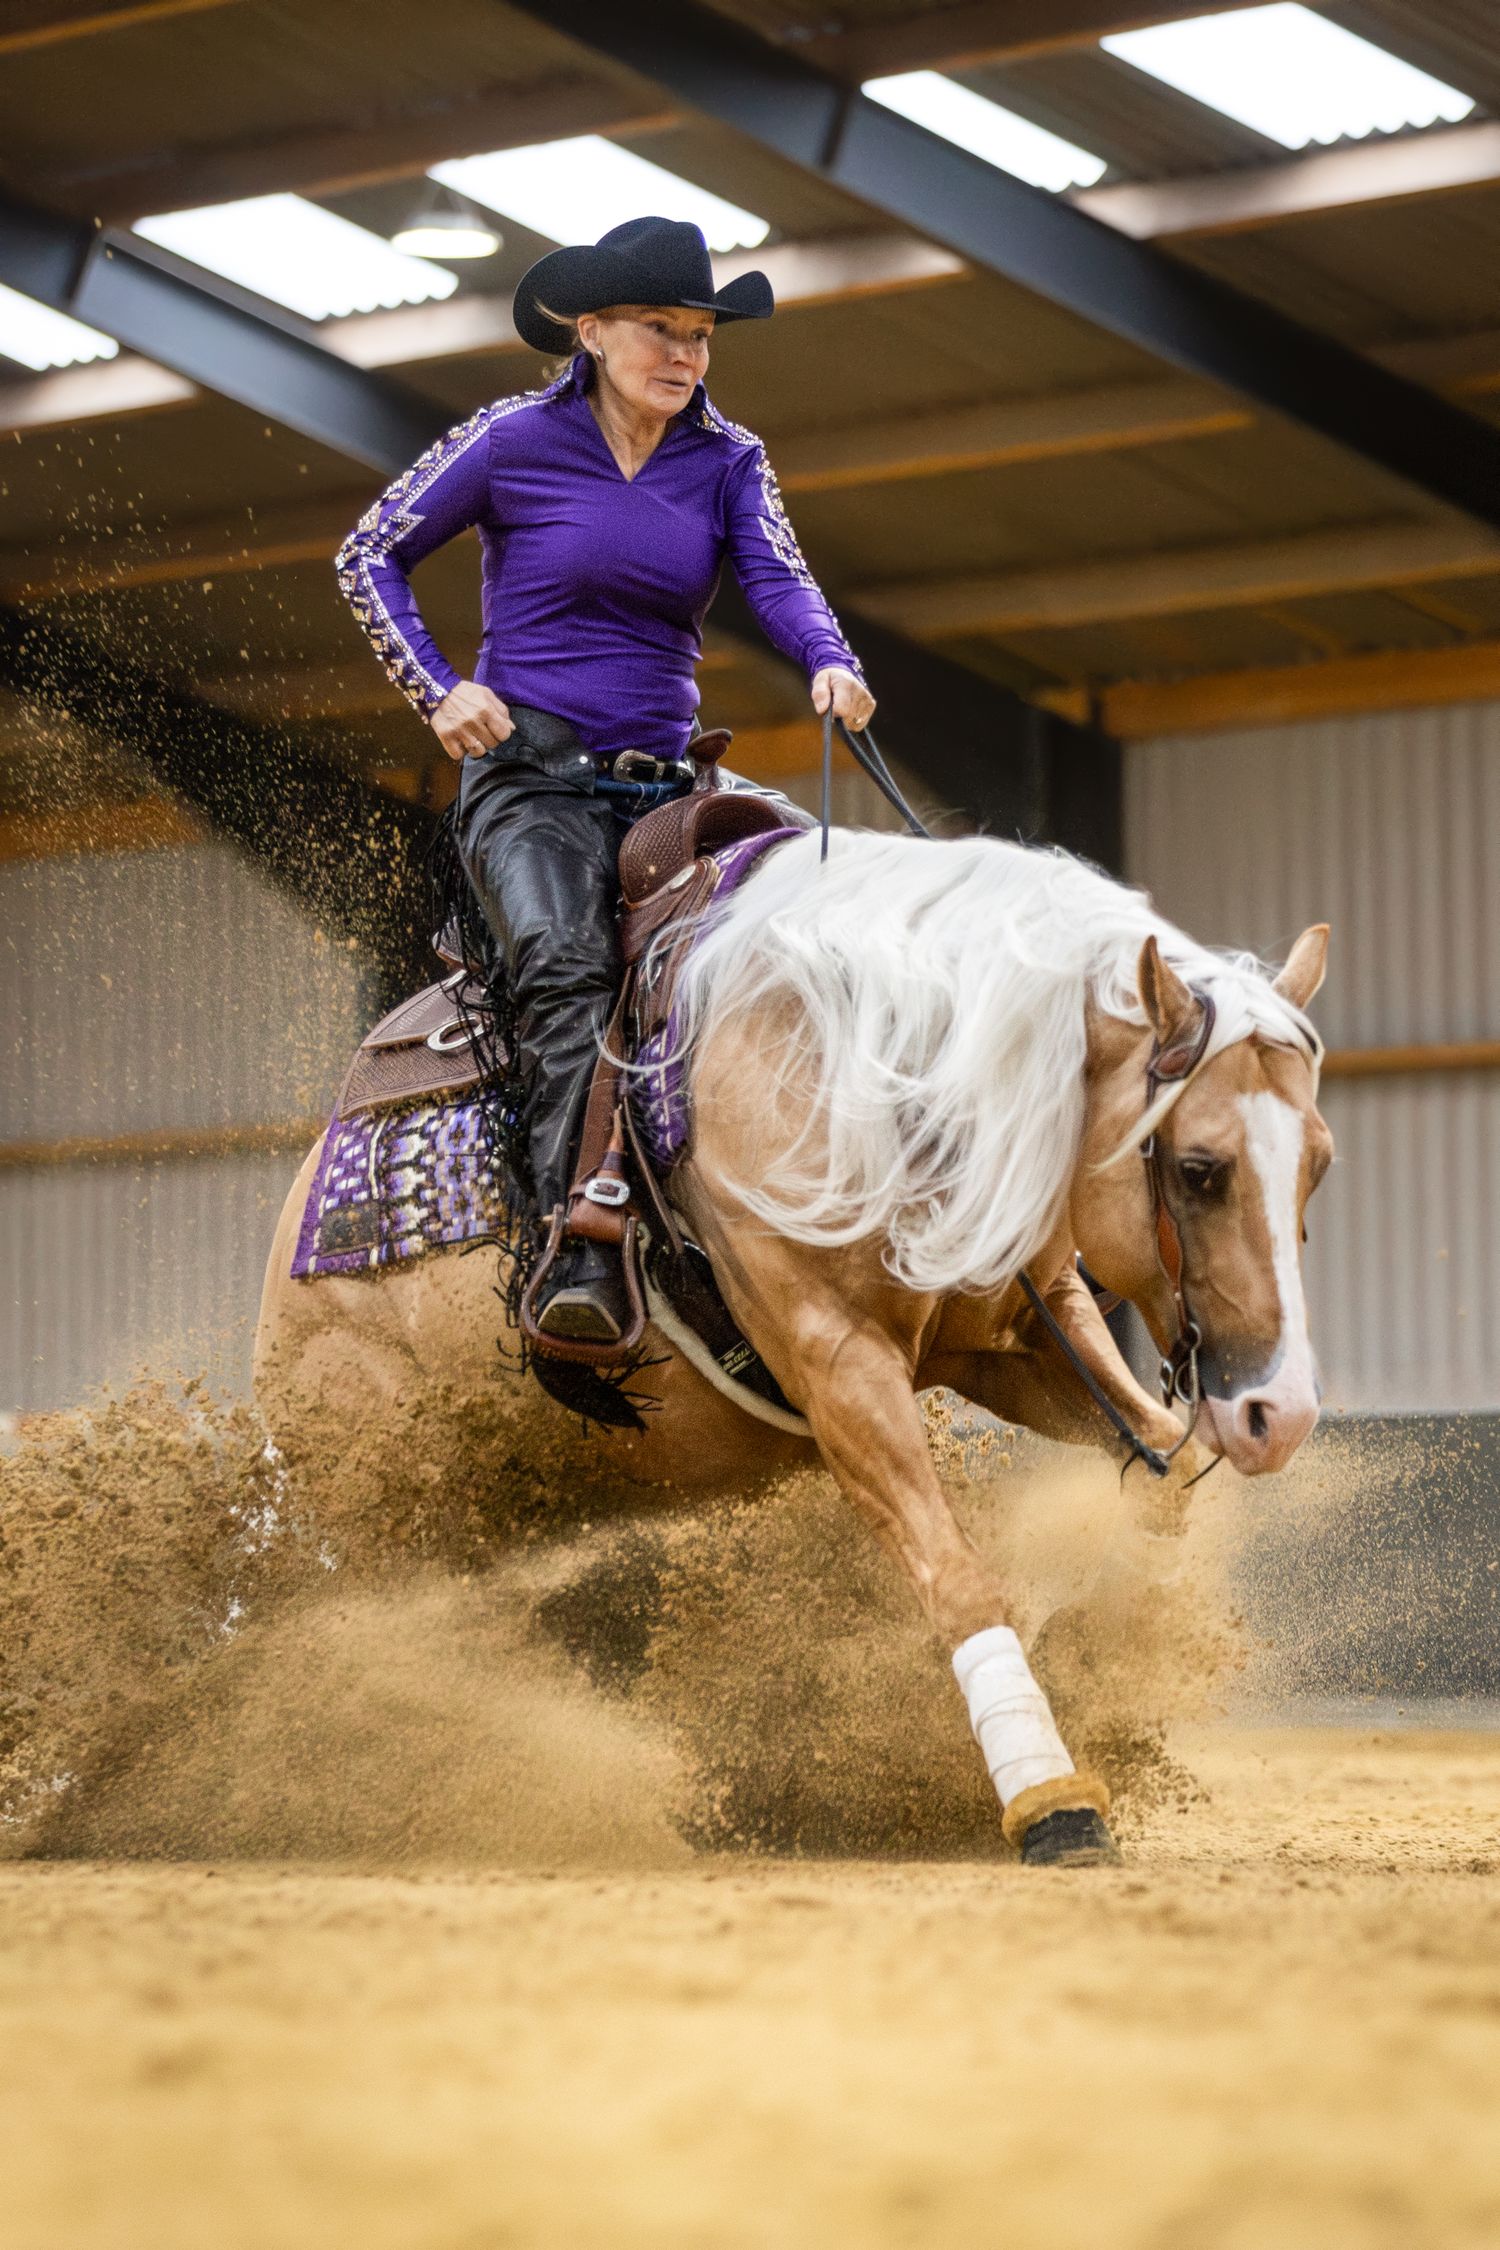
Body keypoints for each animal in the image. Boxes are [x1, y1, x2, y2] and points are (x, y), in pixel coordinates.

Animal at [255, 828, 1331, 1867]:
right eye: (1199, 1169)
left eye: (1317, 1161)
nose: (1280, 1416)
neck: (877, 1067)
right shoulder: (838, 1367)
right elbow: (957, 1575)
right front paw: (1053, 1803)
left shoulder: (1027, 1333)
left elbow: (1163, 1470)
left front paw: (1089, 1661)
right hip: (387, 1505)